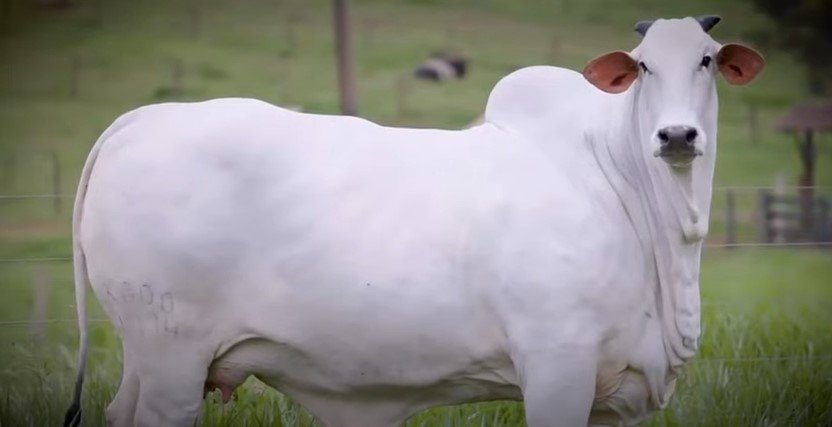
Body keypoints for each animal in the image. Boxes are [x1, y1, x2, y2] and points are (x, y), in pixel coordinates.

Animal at [64, 15, 763, 427]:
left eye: (706, 60)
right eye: (643, 63)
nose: (677, 135)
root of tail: (146, 118)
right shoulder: (556, 364)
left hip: (146, 355)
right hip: (172, 356)